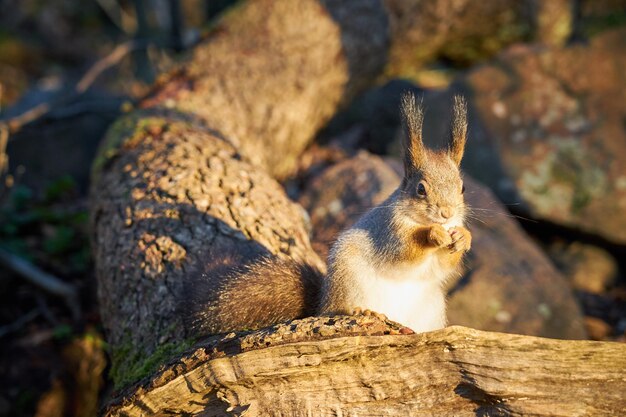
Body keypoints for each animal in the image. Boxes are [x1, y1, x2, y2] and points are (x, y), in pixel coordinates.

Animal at [184, 92, 468, 334]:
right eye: (421, 189)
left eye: (462, 187)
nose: (446, 213)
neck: (421, 219)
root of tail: (322, 300)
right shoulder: (389, 231)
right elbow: (405, 251)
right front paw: (433, 234)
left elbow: (444, 265)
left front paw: (464, 237)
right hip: (347, 276)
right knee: (335, 310)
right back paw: (359, 310)